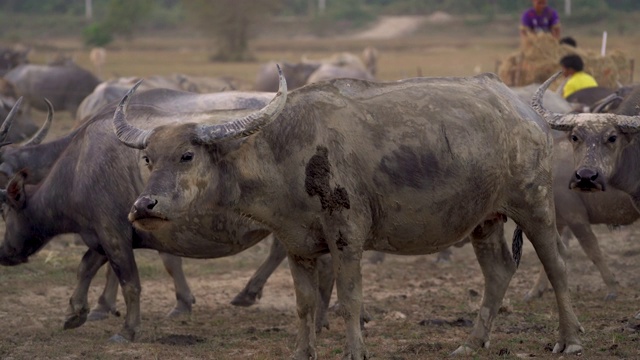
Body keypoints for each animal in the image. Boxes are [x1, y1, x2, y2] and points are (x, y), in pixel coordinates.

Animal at [112, 70, 584, 358]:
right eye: (149, 159)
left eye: (187, 155)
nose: (143, 206)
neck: (285, 153)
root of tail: (526, 113)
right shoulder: (298, 244)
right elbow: (304, 304)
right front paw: (302, 351)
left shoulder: (346, 235)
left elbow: (349, 296)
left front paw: (355, 349)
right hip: (484, 220)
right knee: (499, 271)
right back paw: (471, 342)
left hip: (534, 204)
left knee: (558, 264)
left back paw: (569, 340)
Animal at [532, 71, 640, 320]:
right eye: (575, 137)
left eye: (612, 137)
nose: (586, 177)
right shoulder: (559, 221)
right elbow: (552, 254)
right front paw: (535, 291)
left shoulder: (576, 218)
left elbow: (594, 251)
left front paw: (612, 288)